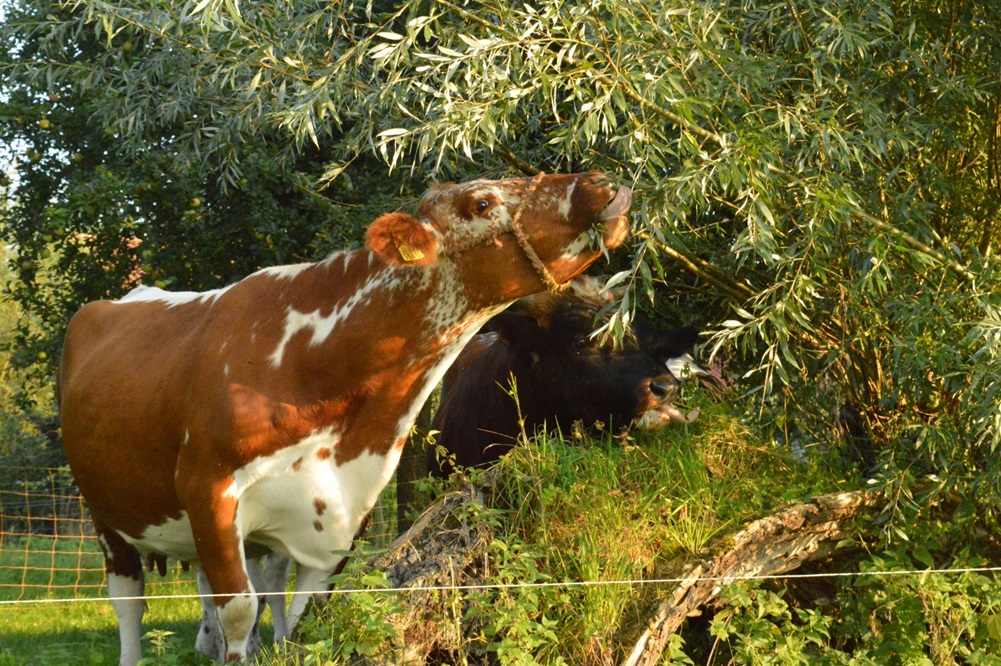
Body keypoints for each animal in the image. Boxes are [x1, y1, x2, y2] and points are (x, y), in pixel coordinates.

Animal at [58, 172, 628, 664]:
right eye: (482, 203)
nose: (598, 182)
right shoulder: (207, 489)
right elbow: (239, 612)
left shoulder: (339, 519)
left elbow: (303, 619)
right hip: (104, 509)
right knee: (128, 602)